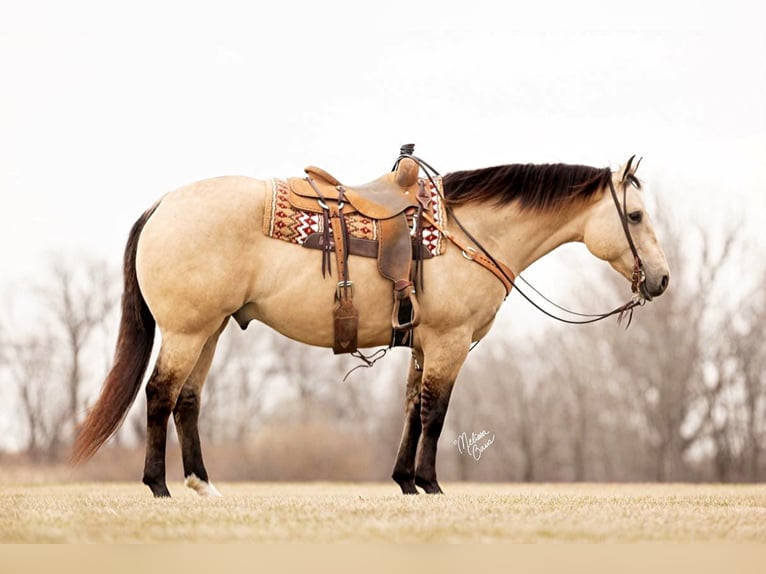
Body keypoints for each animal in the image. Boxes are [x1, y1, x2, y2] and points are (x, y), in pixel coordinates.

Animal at [73, 151, 672, 498]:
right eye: (636, 215)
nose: (662, 279)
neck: (468, 233)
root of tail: (162, 205)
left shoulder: (425, 344)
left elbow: (411, 407)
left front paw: (405, 481)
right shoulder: (450, 343)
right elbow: (435, 413)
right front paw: (430, 484)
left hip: (210, 331)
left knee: (188, 400)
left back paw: (203, 486)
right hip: (187, 331)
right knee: (159, 395)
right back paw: (159, 487)